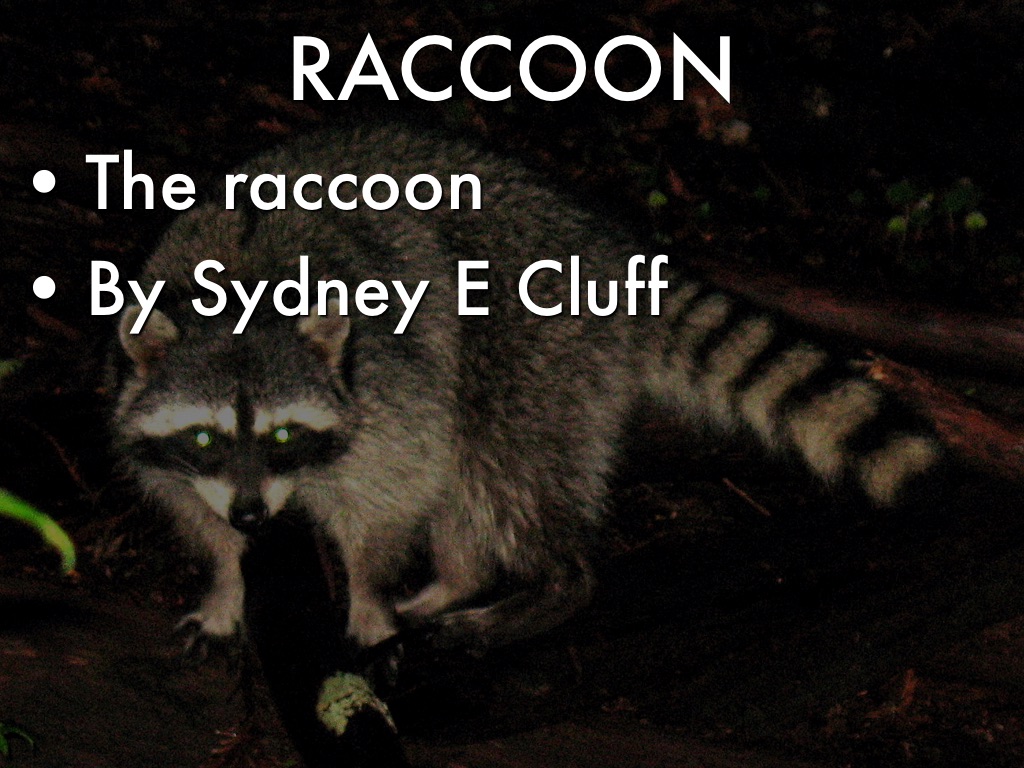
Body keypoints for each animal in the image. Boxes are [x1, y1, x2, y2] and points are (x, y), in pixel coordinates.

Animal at [109, 125, 944, 654]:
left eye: (284, 433)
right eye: (205, 436)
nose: (255, 514)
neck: (241, 291)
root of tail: (606, 248)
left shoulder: (389, 389)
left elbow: (394, 493)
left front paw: (368, 591)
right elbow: (191, 503)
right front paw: (226, 579)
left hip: (528, 341)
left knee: (503, 465)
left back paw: (548, 584)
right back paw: (460, 578)